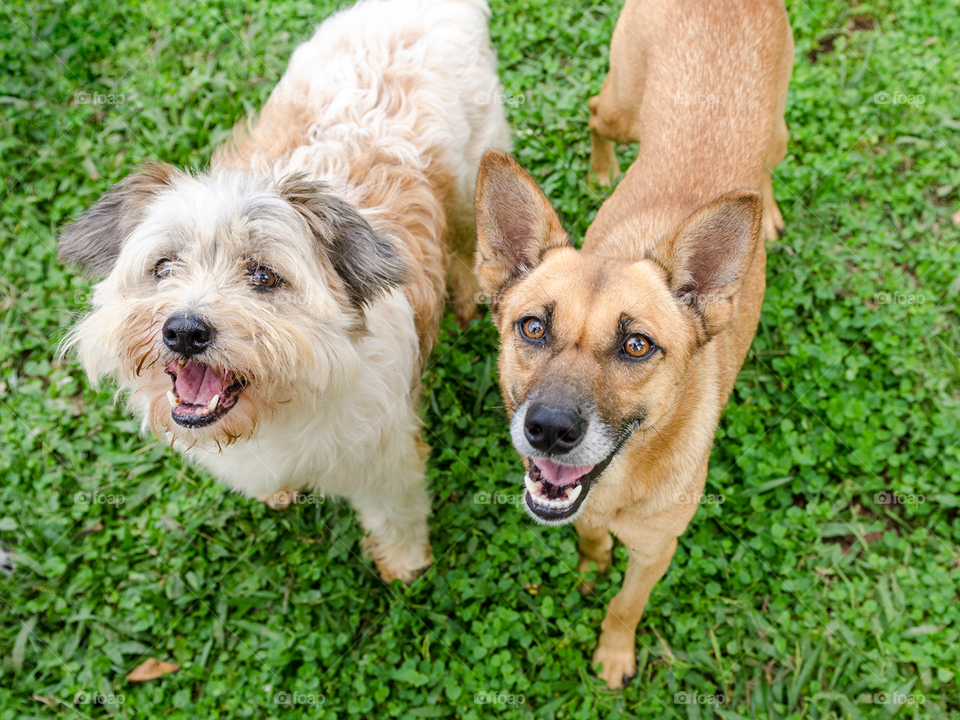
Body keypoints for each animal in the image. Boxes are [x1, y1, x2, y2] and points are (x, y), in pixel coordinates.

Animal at [58, 0, 510, 584]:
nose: (183, 331)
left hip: (475, 176)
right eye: (163, 266)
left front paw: (405, 566)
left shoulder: (387, 462)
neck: (284, 401)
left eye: (264, 277)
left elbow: (397, 518)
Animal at [472, 0, 796, 688]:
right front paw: (590, 564)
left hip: (776, 131)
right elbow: (590, 539)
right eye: (532, 328)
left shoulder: (656, 552)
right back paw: (601, 172)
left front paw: (614, 654)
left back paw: (770, 214)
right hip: (624, 105)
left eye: (638, 346)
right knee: (599, 111)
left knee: (769, 170)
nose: (549, 430)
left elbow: (626, 605)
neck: (623, 477)